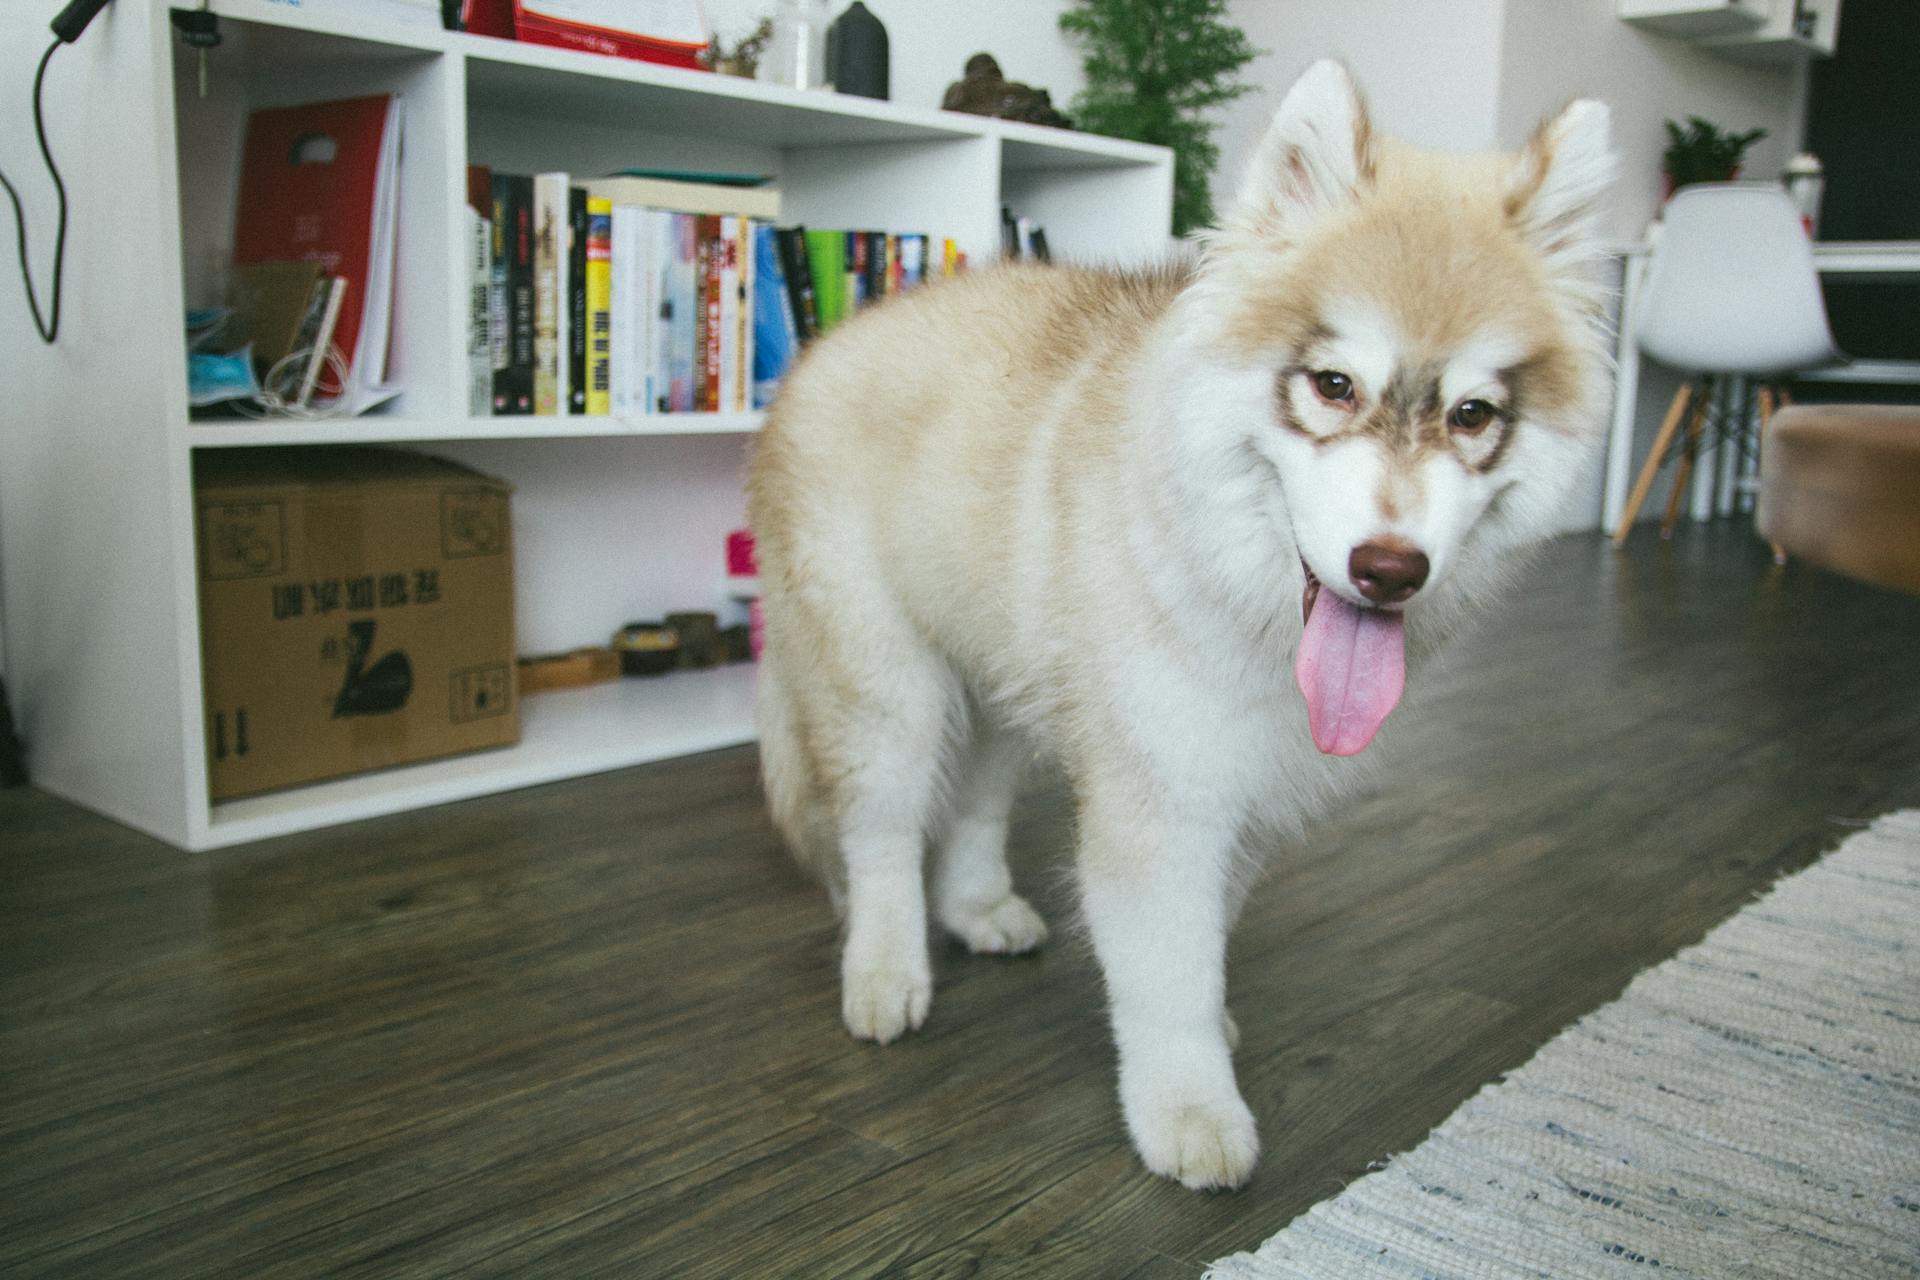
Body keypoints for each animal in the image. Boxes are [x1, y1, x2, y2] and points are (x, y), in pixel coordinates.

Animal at [741, 65, 1612, 1189]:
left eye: (1473, 414)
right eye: (1333, 385)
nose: (1389, 569)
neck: (1235, 585)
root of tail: (826, 342)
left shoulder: (1240, 795)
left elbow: (1207, 944)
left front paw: (1208, 1043)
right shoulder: (1165, 798)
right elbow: (1166, 972)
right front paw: (1190, 1106)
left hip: (1004, 671)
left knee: (974, 797)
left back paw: (975, 907)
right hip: (887, 686)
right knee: (882, 829)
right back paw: (887, 968)